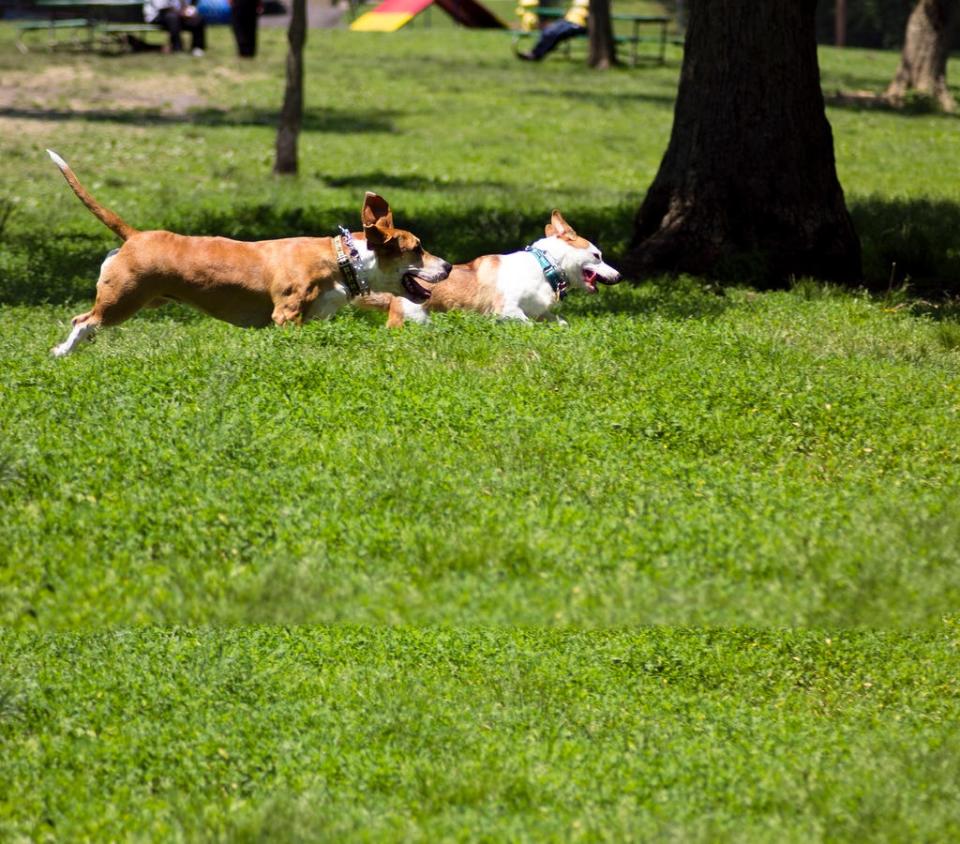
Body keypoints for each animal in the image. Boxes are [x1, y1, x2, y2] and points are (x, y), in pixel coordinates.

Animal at [50, 150, 456, 354]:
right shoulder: (287, 314)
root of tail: (135, 236)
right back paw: (62, 353)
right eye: (417, 248)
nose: (450, 265)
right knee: (82, 321)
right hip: (124, 298)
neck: (343, 260)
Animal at [360, 209, 624, 328]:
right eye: (597, 256)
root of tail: (394, 295)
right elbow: (529, 323)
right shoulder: (507, 310)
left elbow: (560, 321)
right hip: (417, 318)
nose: (619, 276)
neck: (544, 267)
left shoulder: (541, 310)